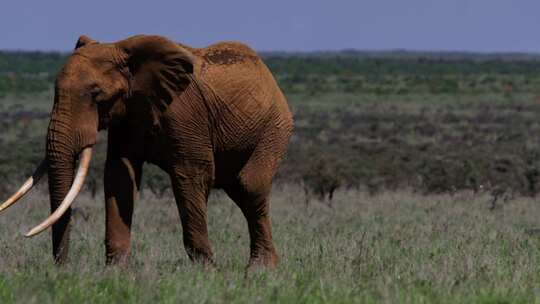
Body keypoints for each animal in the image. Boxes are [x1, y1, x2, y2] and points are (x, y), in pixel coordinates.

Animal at [0, 33, 294, 268]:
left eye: (96, 94)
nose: (61, 268)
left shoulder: (185, 112)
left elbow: (191, 176)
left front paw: (206, 272)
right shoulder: (126, 113)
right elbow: (120, 175)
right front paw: (117, 272)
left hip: (275, 126)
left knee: (250, 186)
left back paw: (260, 270)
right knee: (240, 192)